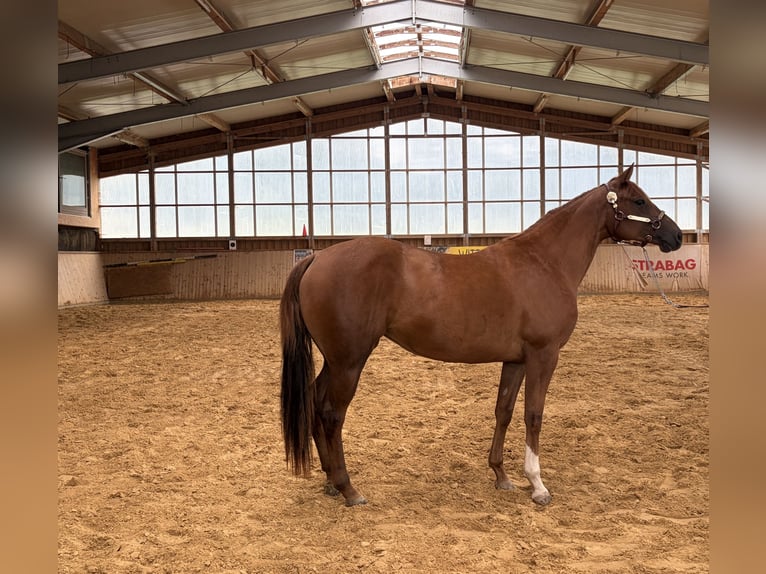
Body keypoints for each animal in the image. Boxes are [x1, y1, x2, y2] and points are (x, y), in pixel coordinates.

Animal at [279, 165, 683, 507]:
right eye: (639, 201)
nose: (676, 235)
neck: (544, 262)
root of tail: (316, 258)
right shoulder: (543, 355)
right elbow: (534, 414)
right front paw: (538, 485)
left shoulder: (516, 359)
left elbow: (504, 411)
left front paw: (502, 476)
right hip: (349, 361)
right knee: (332, 414)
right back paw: (349, 489)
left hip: (335, 360)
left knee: (315, 402)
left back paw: (331, 482)